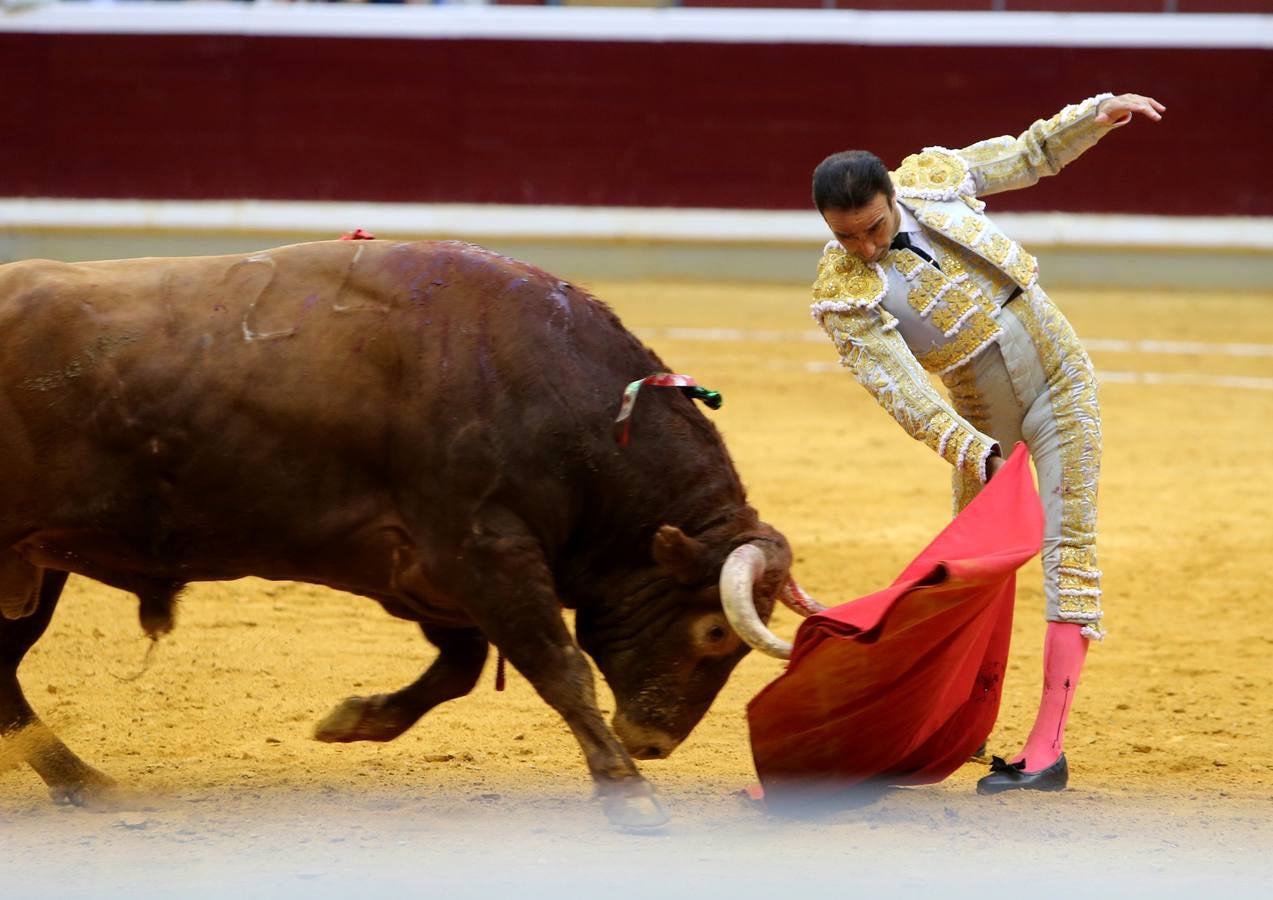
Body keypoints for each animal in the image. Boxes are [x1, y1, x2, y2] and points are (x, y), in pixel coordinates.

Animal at [0, 239, 789, 829]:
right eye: (712, 634)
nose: (653, 743)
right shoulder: (484, 552)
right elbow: (560, 667)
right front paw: (628, 794)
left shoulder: (432, 573)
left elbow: (461, 668)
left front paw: (354, 720)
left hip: (34, 565)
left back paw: (82, 781)